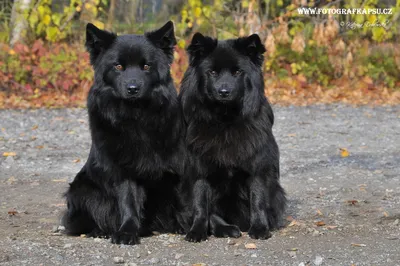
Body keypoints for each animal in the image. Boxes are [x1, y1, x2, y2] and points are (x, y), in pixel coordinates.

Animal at [62, 21, 186, 244]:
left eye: (146, 66)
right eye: (118, 67)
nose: (133, 88)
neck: (136, 117)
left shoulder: (177, 167)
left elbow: (183, 200)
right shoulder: (124, 168)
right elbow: (128, 201)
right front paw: (127, 232)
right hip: (80, 189)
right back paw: (101, 230)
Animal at [180, 32, 286, 241]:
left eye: (237, 72)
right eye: (212, 72)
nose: (224, 92)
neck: (225, 119)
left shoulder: (258, 166)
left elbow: (258, 198)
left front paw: (260, 228)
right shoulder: (198, 168)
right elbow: (200, 203)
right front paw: (197, 231)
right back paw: (225, 228)